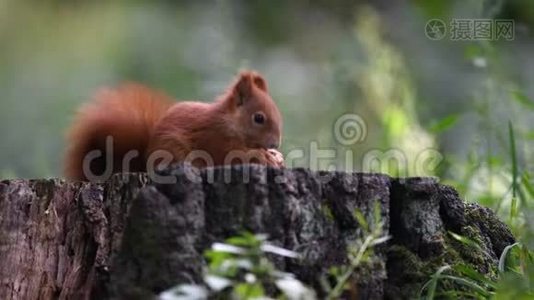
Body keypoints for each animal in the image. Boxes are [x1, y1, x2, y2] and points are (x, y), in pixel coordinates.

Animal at [63, 71, 284, 180]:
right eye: (258, 118)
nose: (275, 144)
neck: (231, 123)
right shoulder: (215, 138)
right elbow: (233, 155)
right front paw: (265, 157)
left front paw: (276, 156)